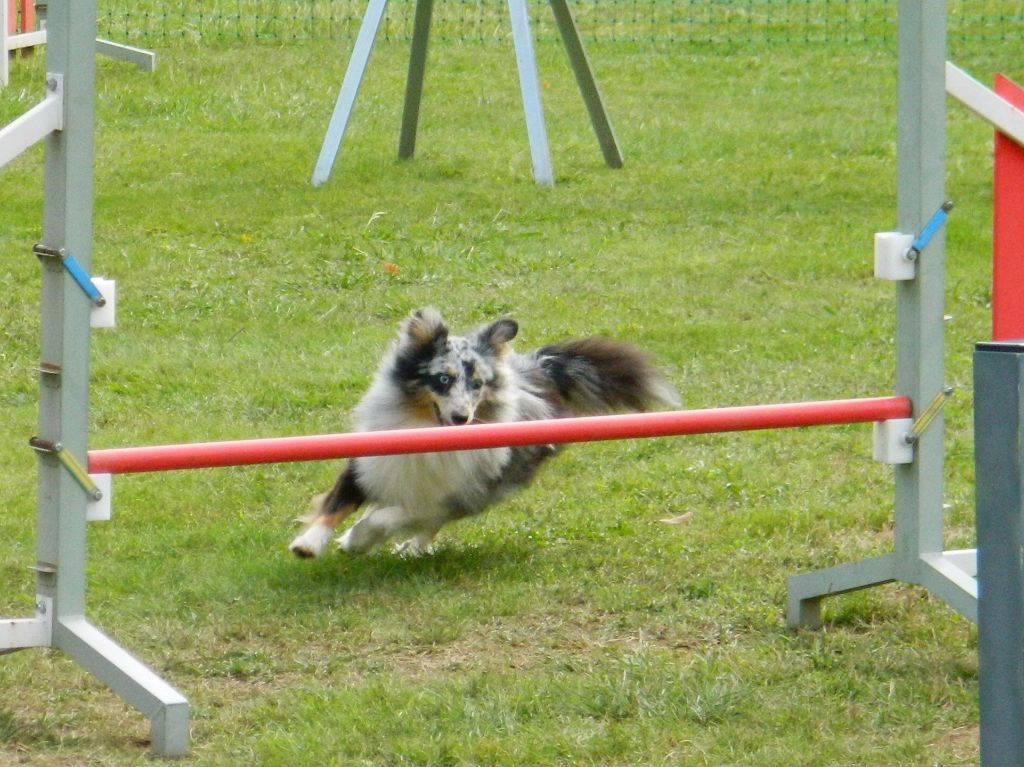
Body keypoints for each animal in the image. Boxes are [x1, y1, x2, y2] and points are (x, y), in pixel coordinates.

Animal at [286, 309, 679, 557]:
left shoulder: (451, 494)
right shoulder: (369, 462)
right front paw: (308, 544)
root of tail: (539, 370)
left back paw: (410, 547)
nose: (462, 418)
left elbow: (391, 515)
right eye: (442, 379)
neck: (425, 431)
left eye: (477, 384)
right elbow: (336, 503)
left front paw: (357, 540)